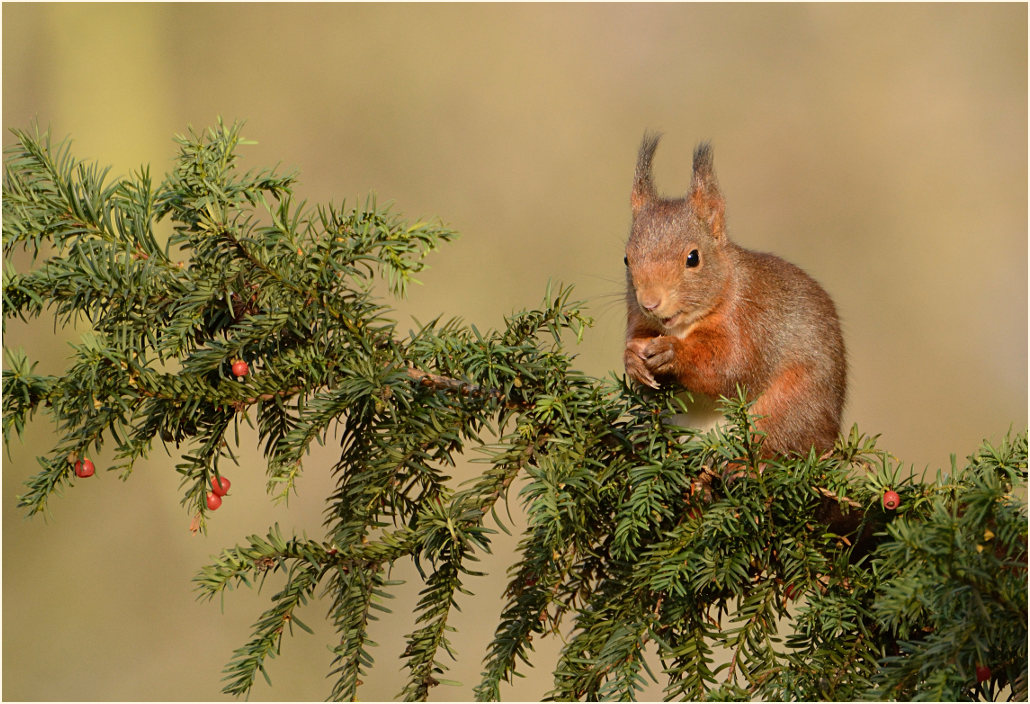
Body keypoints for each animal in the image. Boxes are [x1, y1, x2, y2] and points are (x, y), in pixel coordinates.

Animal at [623, 134, 847, 458]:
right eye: (626, 259)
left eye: (693, 258)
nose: (650, 302)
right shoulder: (637, 319)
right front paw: (631, 359)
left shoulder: (749, 318)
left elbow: (730, 366)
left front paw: (672, 353)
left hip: (789, 407)